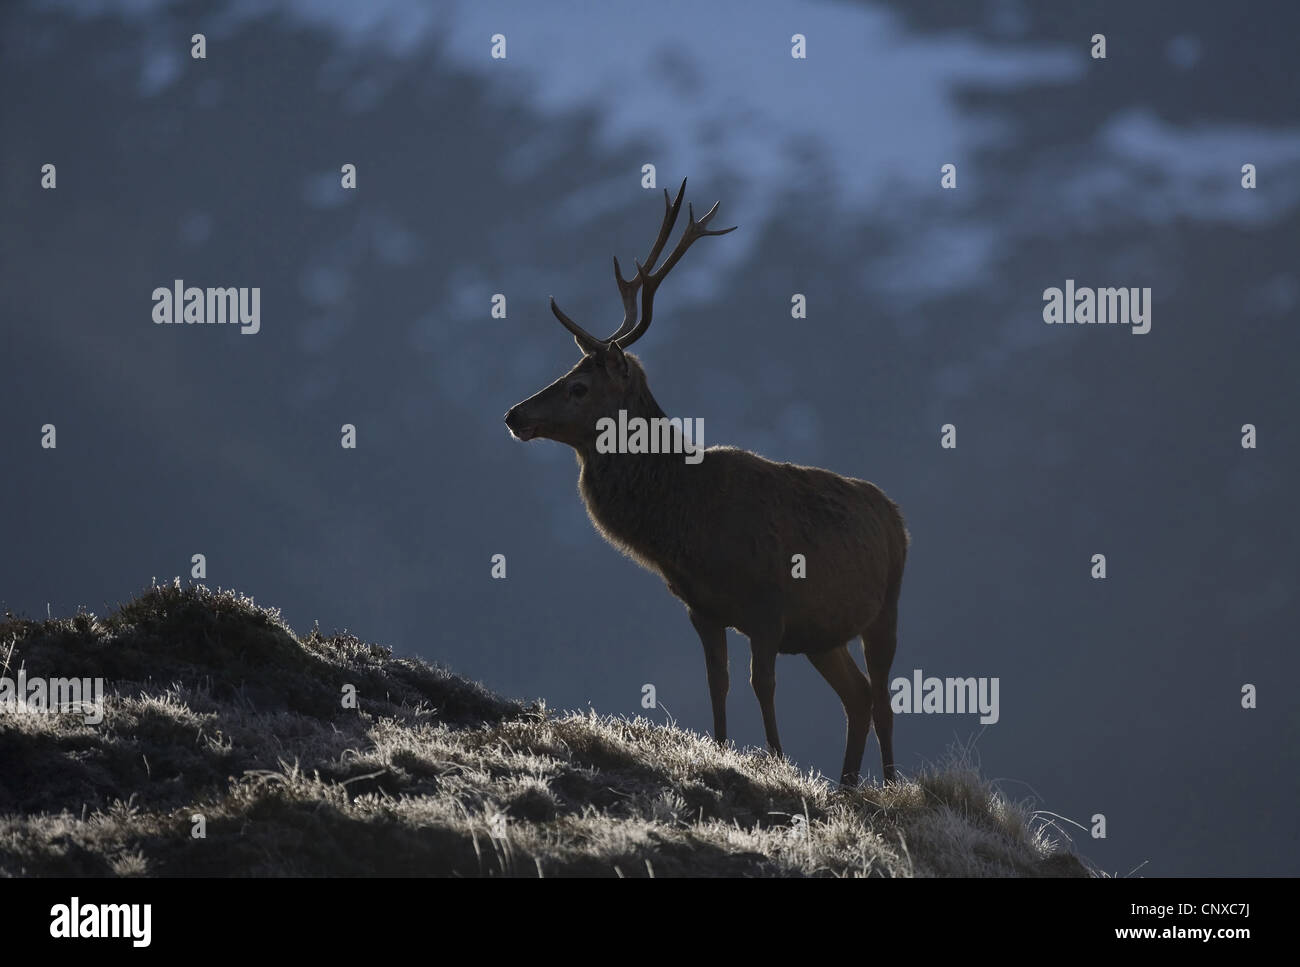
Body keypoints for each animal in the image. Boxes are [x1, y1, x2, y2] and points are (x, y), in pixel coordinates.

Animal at [501, 179, 909, 785]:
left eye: (578, 386)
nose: (514, 415)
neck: (688, 526)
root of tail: (896, 514)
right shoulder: (703, 608)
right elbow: (717, 685)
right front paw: (719, 751)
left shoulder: (769, 602)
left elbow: (760, 685)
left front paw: (778, 761)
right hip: (823, 631)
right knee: (856, 696)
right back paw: (846, 787)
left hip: (887, 606)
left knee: (882, 698)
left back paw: (890, 784)